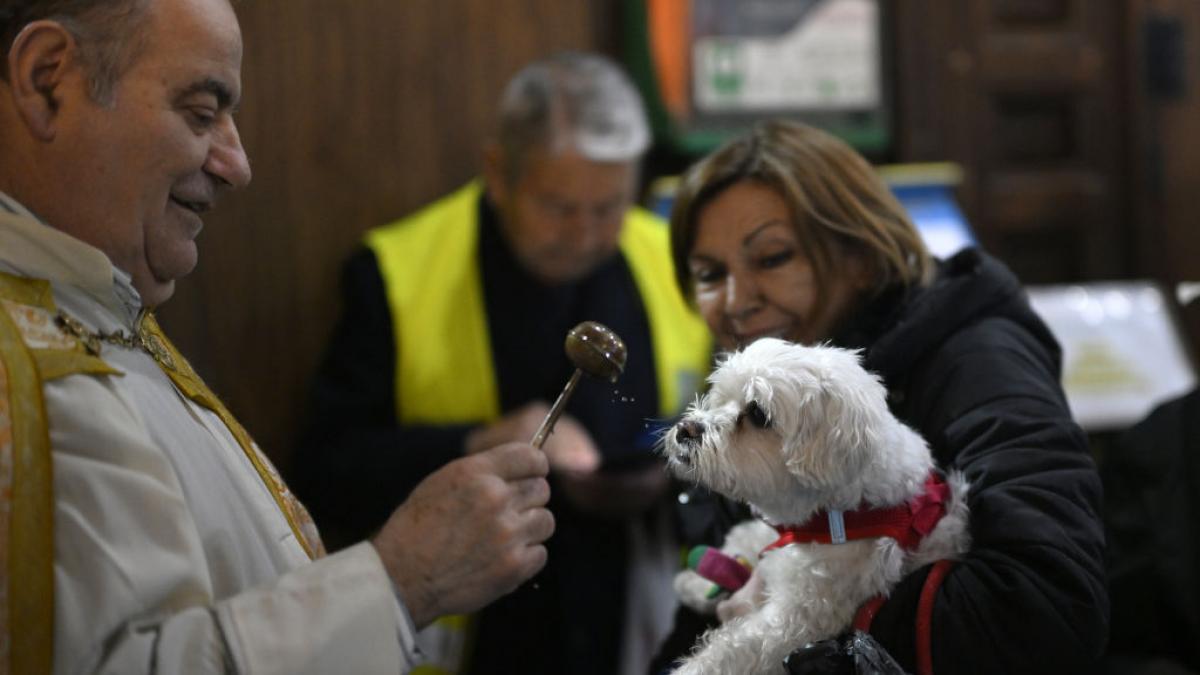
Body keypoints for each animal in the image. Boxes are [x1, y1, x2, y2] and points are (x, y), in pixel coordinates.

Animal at [662, 338, 969, 667]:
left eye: (758, 414)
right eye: (721, 398)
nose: (685, 430)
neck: (845, 514)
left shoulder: (799, 618)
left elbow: (730, 650)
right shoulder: (781, 533)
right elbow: (746, 539)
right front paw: (696, 582)